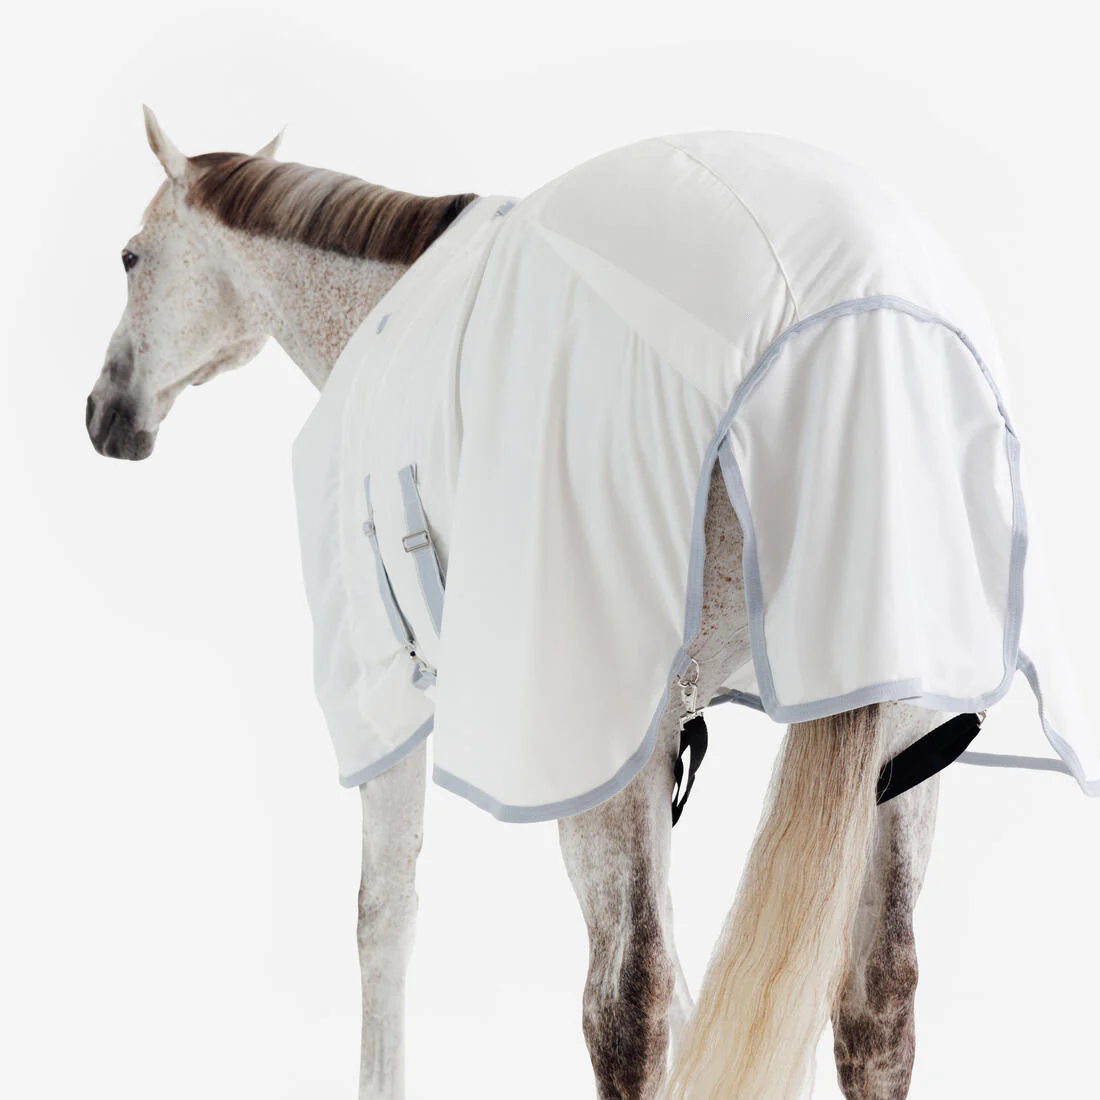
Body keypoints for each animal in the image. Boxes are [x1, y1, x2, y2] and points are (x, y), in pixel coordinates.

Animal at [87, 108, 953, 1100]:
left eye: (129, 257)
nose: (105, 413)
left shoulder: (401, 695)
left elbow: (383, 914)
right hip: (901, 733)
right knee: (879, 996)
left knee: (626, 1002)